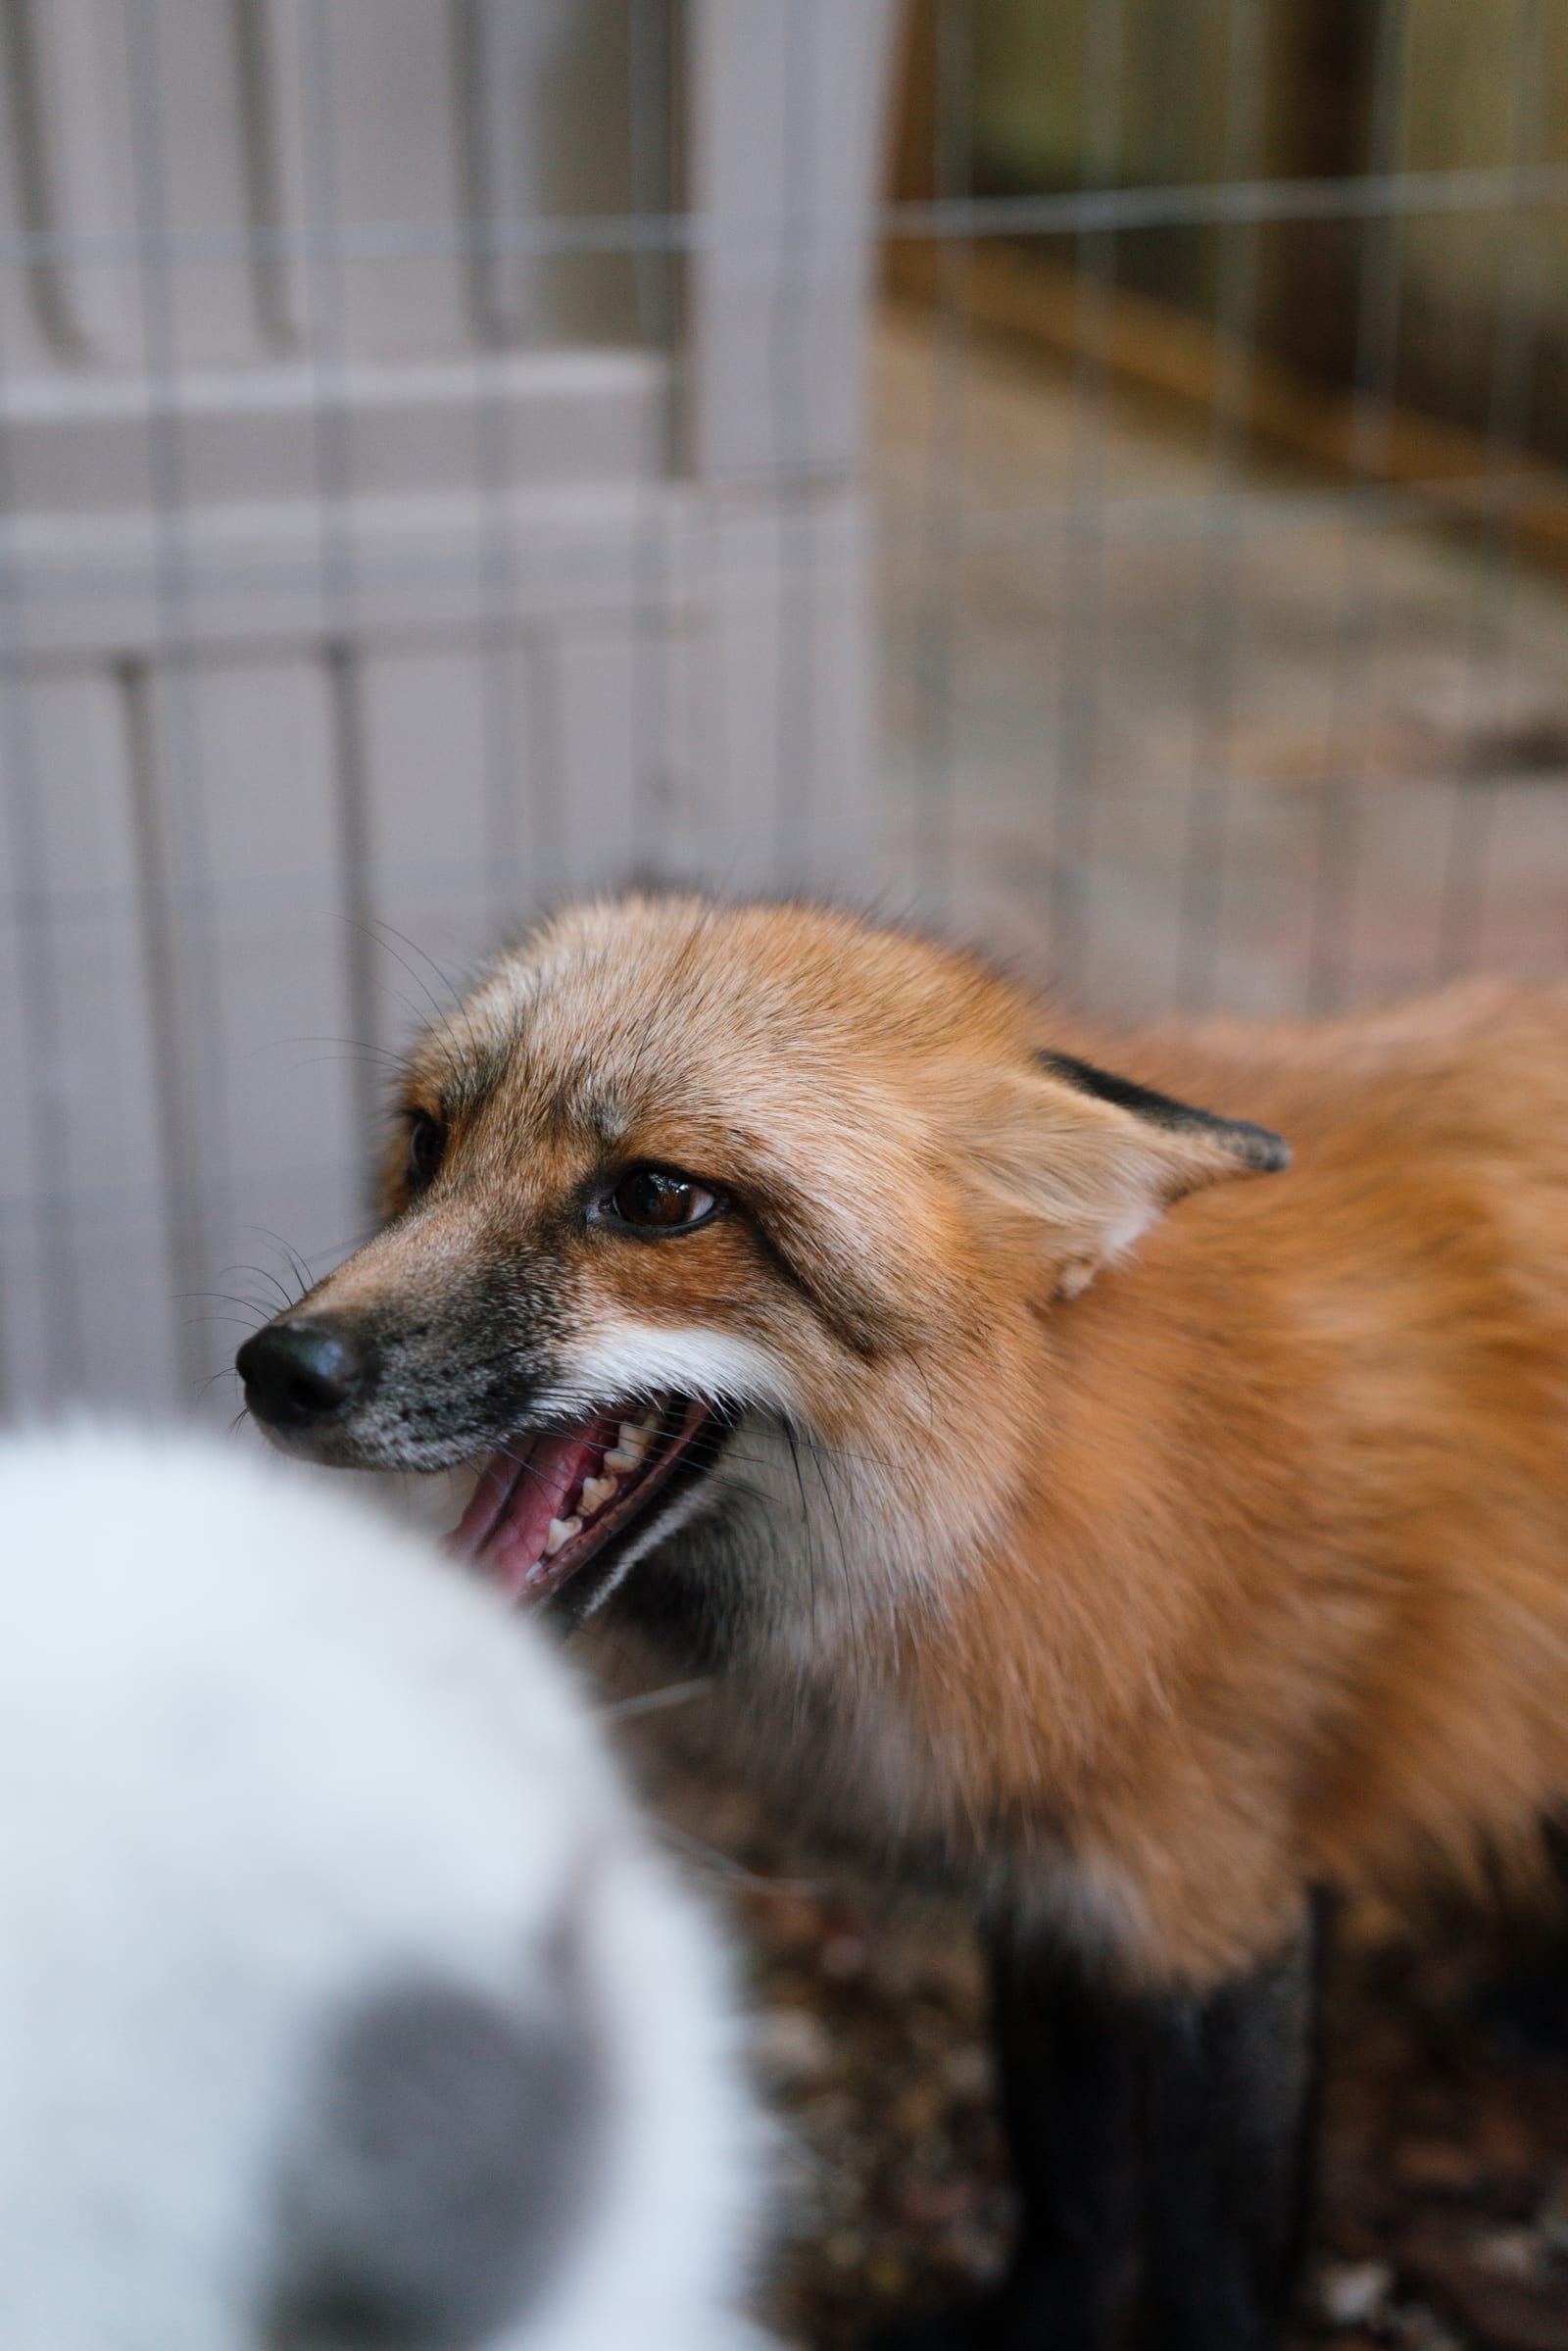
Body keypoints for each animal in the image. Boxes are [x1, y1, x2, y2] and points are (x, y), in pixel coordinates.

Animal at [237, 893, 1568, 2351]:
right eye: (431, 1140)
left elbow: (1208, 2264)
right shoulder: (1044, 1888)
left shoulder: (1224, 1905)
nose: (275, 1369)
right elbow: (1068, 2182)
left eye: (658, 1196)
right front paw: (1032, 2329)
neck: (1025, 1478)